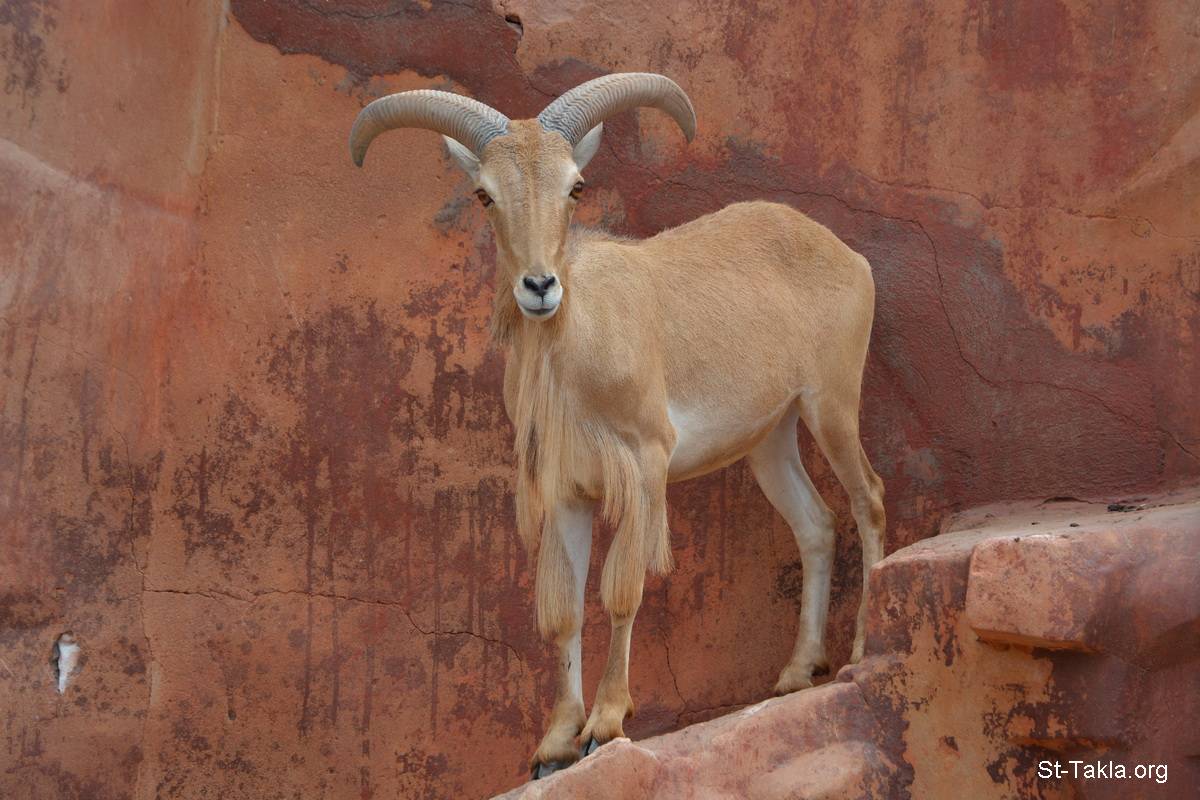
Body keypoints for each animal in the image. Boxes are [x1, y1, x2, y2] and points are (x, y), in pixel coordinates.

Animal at [349, 73, 885, 778]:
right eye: (484, 194)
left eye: (576, 185)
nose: (539, 286)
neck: (576, 352)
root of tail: (850, 256)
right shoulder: (567, 492)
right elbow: (563, 610)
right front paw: (553, 743)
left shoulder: (644, 464)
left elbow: (620, 592)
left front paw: (604, 725)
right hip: (768, 436)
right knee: (816, 523)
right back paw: (797, 671)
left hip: (832, 401)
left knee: (868, 499)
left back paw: (860, 651)